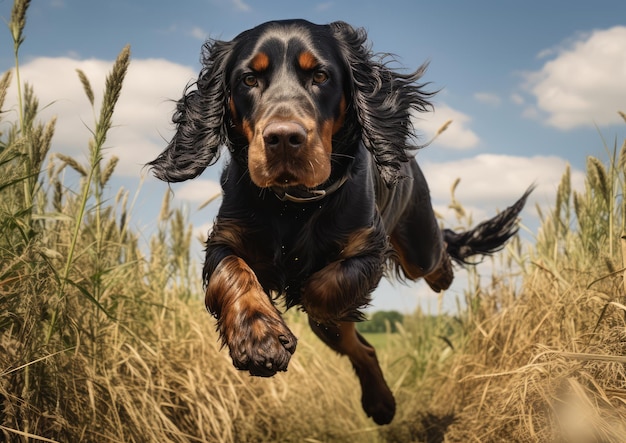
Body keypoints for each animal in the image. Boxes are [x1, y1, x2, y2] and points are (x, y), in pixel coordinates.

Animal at [147, 19, 532, 424]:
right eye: (249, 79)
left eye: (320, 76)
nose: (283, 138)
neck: (293, 205)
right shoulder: (226, 237)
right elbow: (234, 274)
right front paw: (259, 338)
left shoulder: (368, 248)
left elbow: (323, 288)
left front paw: (297, 296)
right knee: (364, 348)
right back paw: (380, 404)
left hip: (418, 246)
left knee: (433, 257)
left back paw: (438, 280)